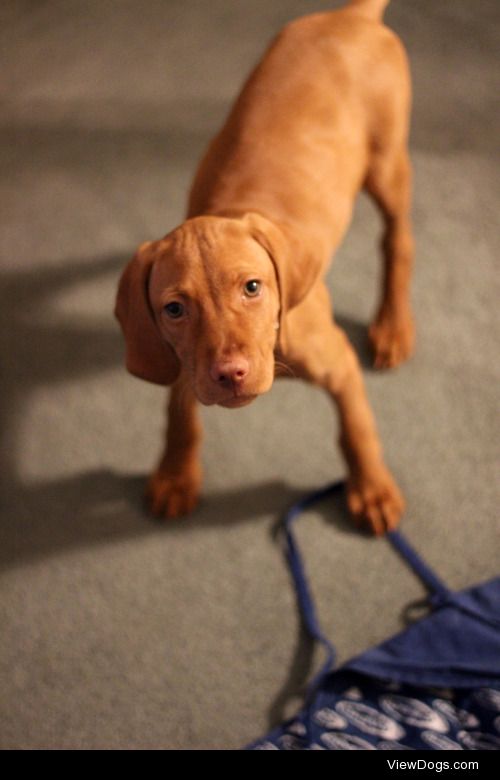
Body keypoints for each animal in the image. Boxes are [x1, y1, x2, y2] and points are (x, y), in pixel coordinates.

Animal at [116, 0, 414, 536]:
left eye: (252, 287)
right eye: (174, 309)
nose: (230, 373)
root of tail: (350, 17)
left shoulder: (338, 362)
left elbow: (357, 428)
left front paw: (372, 488)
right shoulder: (181, 360)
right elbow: (179, 414)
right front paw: (175, 473)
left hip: (386, 165)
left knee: (397, 238)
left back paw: (393, 325)